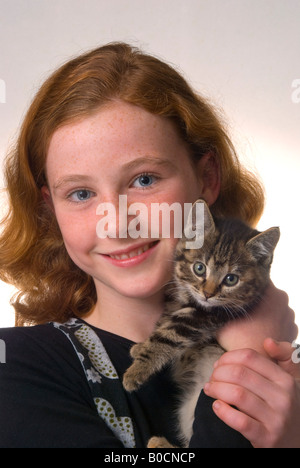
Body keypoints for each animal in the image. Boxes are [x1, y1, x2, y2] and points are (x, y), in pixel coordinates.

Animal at [123, 198, 280, 446]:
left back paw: (159, 443)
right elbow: (164, 323)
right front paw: (140, 347)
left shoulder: (205, 317)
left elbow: (167, 337)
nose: (208, 294)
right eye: (199, 268)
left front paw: (136, 370)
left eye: (231, 279)